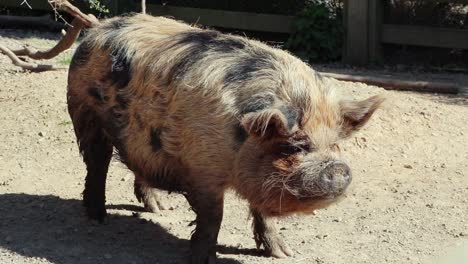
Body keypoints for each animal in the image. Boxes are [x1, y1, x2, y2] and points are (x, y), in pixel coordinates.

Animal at [66, 13, 384, 264]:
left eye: (335, 144)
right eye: (293, 146)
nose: (338, 168)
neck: (239, 140)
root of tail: (98, 28)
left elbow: (263, 214)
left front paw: (283, 253)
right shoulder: (202, 169)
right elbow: (213, 215)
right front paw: (203, 259)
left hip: (139, 136)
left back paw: (159, 208)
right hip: (84, 113)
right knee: (97, 165)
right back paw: (97, 217)